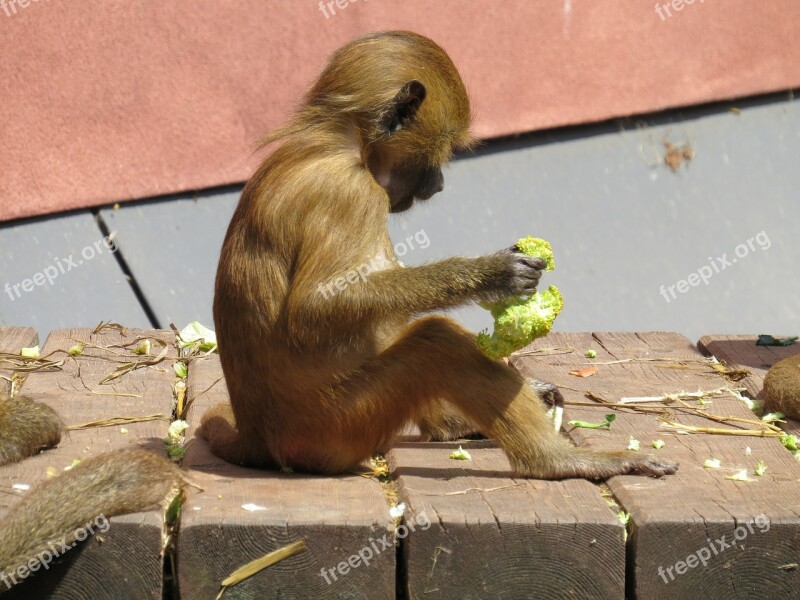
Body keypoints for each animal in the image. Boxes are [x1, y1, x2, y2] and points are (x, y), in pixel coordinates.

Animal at [198, 31, 676, 482]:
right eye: (441, 149)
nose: (439, 184)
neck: (335, 140)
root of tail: (260, 439)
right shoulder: (351, 192)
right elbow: (311, 310)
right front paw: (492, 274)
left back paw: (457, 426)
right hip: (335, 431)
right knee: (437, 344)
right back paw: (554, 461)